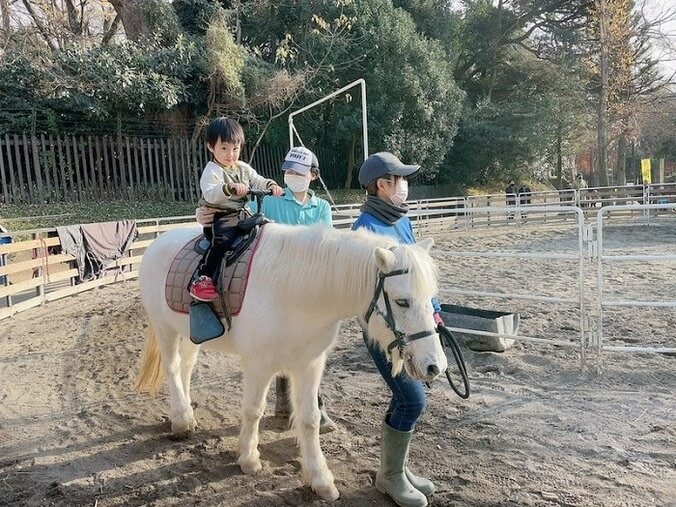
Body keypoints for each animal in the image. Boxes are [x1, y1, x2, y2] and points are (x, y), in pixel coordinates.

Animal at [134, 224, 446, 502]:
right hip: (164, 328)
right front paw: (249, 459)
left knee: (186, 368)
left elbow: (309, 419)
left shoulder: (309, 364)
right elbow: (253, 410)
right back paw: (181, 421)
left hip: (190, 333)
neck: (296, 291)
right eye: (402, 301)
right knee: (173, 368)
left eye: (432, 298)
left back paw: (188, 414)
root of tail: (158, 242)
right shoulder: (258, 364)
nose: (436, 366)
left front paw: (320, 479)